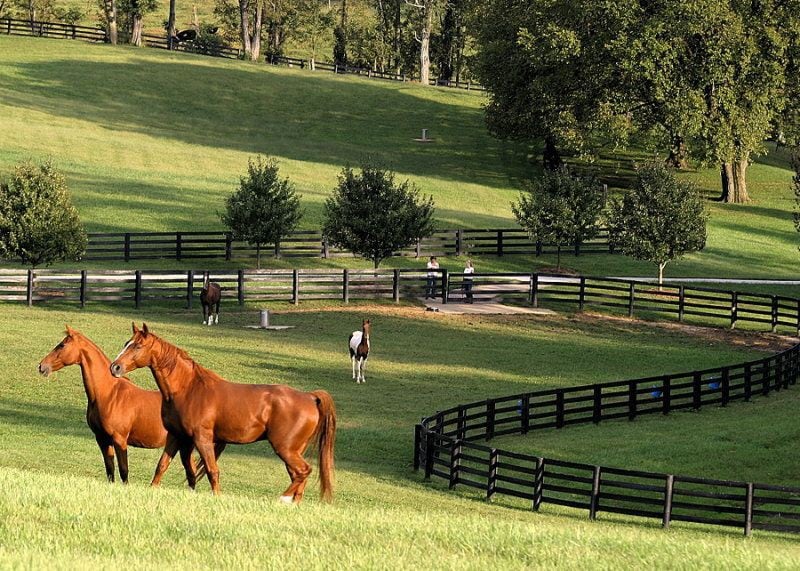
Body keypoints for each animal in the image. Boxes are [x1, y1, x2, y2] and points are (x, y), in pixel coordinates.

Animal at [37, 328, 173, 484]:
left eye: (62, 345)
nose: (41, 366)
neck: (109, 394)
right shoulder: (102, 438)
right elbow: (110, 470)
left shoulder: (119, 440)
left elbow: (123, 471)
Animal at [109, 324, 334, 502]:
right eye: (127, 343)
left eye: (138, 346)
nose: (115, 367)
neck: (189, 389)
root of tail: (309, 397)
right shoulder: (176, 436)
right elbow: (162, 466)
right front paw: (152, 489)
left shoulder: (202, 439)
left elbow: (212, 471)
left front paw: (217, 497)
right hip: (293, 450)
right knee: (298, 476)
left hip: (285, 448)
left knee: (303, 471)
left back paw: (283, 499)